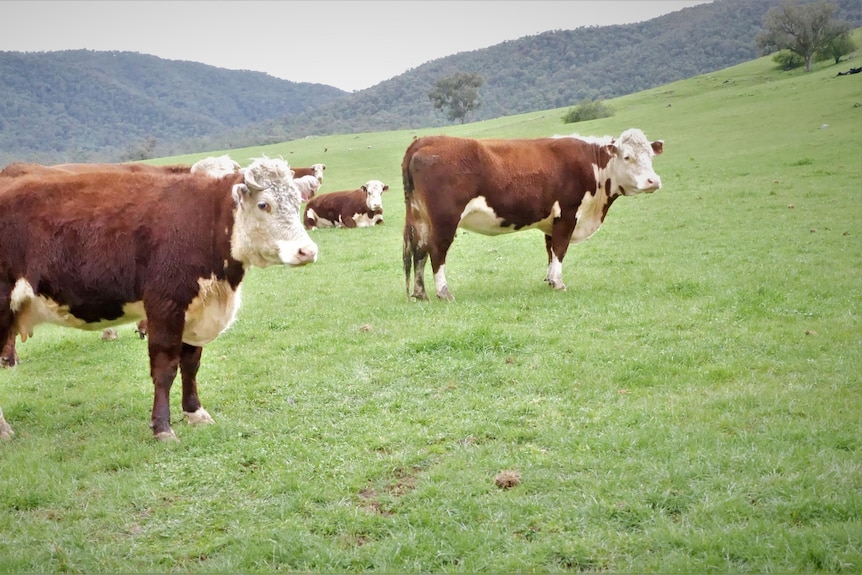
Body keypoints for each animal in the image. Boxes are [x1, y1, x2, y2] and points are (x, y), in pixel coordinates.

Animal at [0, 158, 320, 440]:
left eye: (297, 201)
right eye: (264, 204)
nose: (307, 251)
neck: (204, 221)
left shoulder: (194, 310)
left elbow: (191, 364)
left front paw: (195, 412)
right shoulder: (165, 307)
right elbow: (165, 370)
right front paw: (162, 427)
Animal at [402, 129, 664, 302]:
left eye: (651, 156)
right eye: (627, 157)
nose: (653, 181)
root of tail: (425, 140)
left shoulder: (552, 221)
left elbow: (550, 250)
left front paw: (549, 280)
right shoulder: (568, 214)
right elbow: (560, 249)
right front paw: (559, 283)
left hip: (420, 217)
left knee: (419, 251)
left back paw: (420, 293)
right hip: (445, 219)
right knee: (436, 251)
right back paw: (443, 292)